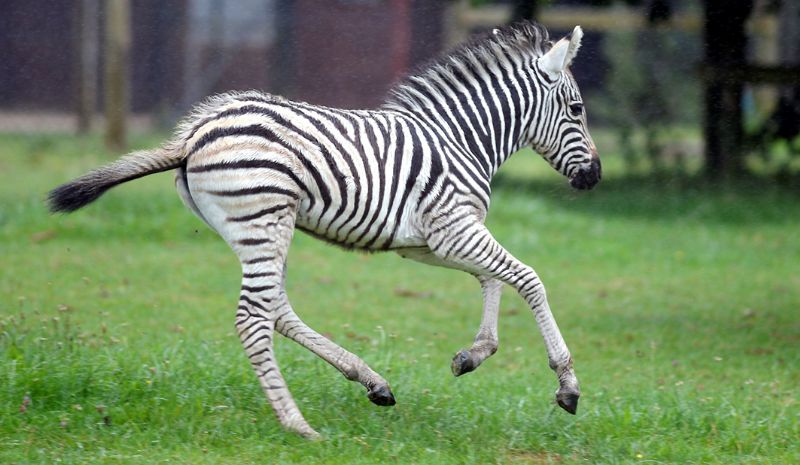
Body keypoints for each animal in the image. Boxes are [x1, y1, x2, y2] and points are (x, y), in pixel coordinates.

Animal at [48, 20, 600, 436]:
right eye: (576, 110)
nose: (594, 176)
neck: (460, 138)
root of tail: (192, 136)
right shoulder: (452, 228)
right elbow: (527, 279)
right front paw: (567, 386)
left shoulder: (429, 240)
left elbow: (492, 278)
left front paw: (474, 354)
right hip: (265, 221)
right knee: (254, 317)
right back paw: (298, 424)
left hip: (257, 231)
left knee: (277, 311)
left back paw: (370, 382)